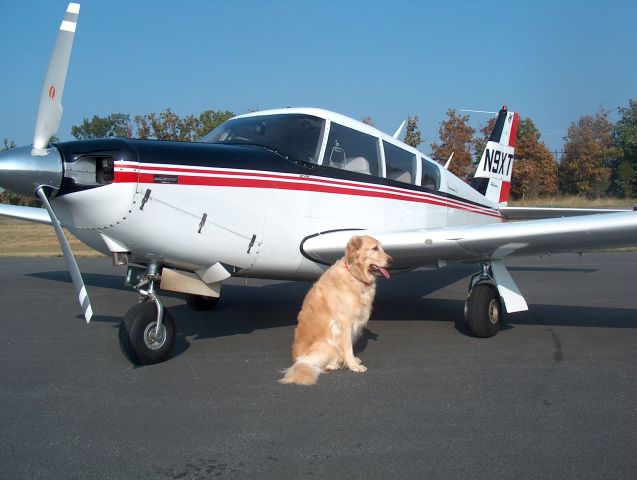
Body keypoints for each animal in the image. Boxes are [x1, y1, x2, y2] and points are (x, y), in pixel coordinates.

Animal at [280, 234, 390, 384]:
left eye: (382, 248)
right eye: (374, 249)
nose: (391, 261)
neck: (354, 275)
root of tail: (297, 362)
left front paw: (353, 361)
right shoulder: (344, 324)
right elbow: (348, 348)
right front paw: (353, 365)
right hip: (327, 347)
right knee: (317, 365)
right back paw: (335, 364)